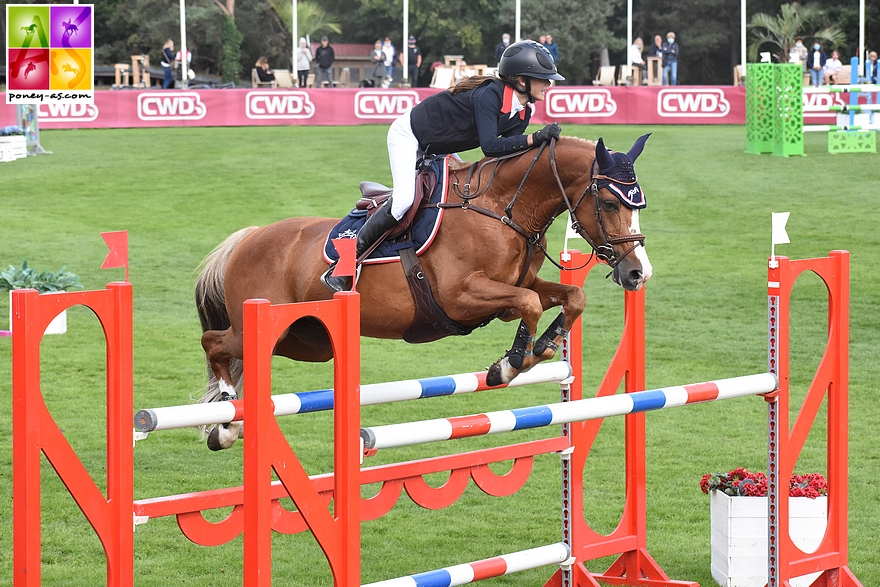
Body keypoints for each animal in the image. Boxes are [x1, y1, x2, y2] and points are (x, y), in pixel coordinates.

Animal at [192, 137, 648, 450]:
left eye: (637, 205)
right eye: (610, 203)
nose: (637, 272)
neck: (501, 208)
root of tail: (249, 238)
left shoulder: (519, 285)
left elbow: (570, 298)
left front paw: (546, 345)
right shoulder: (461, 297)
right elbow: (530, 305)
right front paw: (511, 364)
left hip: (308, 340)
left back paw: (229, 422)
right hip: (265, 326)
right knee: (213, 342)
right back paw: (226, 421)